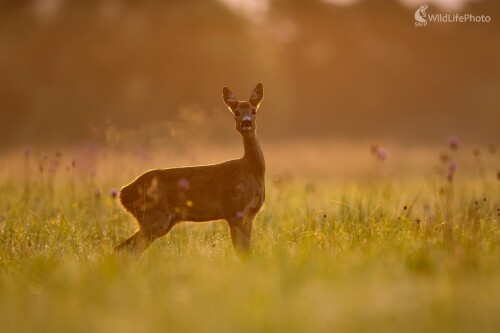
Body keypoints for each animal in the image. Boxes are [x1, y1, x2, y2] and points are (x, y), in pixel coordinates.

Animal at [115, 82, 266, 254]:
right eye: (236, 112)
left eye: (254, 111)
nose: (246, 123)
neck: (252, 171)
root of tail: (122, 193)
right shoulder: (234, 211)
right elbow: (241, 251)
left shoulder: (250, 214)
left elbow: (246, 250)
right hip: (154, 217)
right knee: (129, 249)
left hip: (159, 221)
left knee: (123, 247)